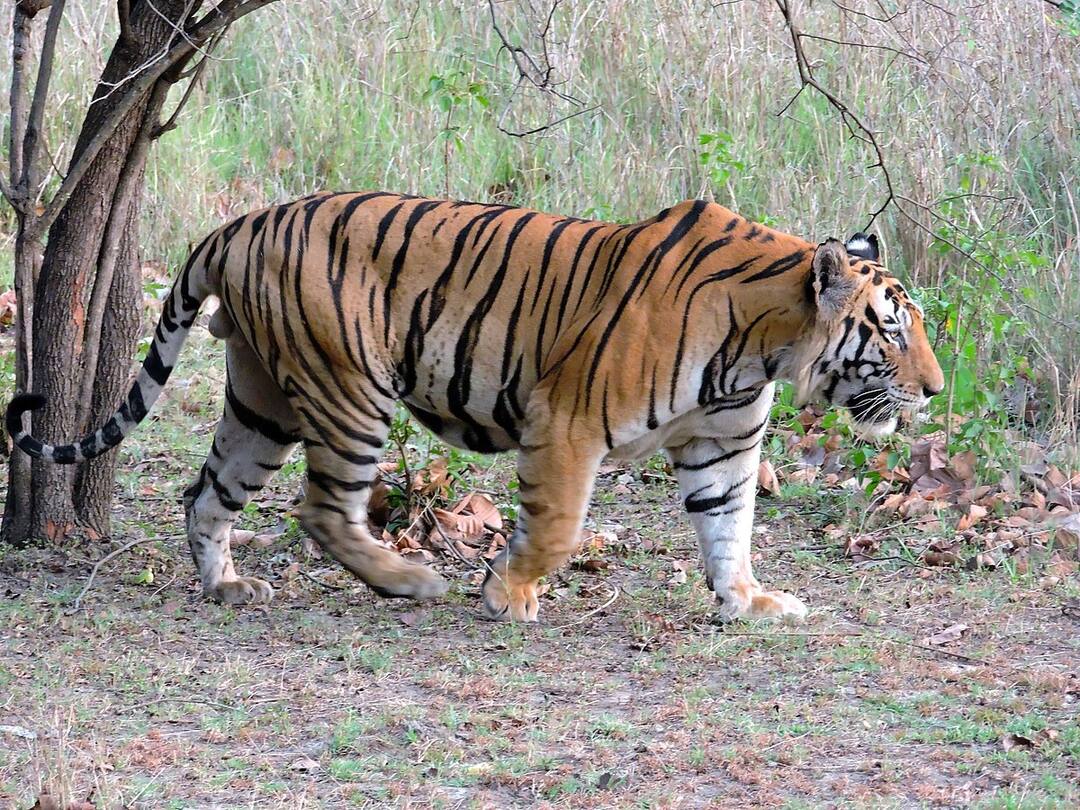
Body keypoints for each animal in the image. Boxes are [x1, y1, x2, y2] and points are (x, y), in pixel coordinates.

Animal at [6, 192, 943, 622]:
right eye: (893, 330)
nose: (936, 391)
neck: (762, 345)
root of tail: (238, 224)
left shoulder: (722, 447)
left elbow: (729, 528)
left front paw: (748, 601)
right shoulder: (567, 422)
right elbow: (558, 528)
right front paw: (505, 592)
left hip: (260, 400)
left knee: (205, 494)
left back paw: (228, 585)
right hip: (350, 391)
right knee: (322, 508)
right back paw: (407, 579)